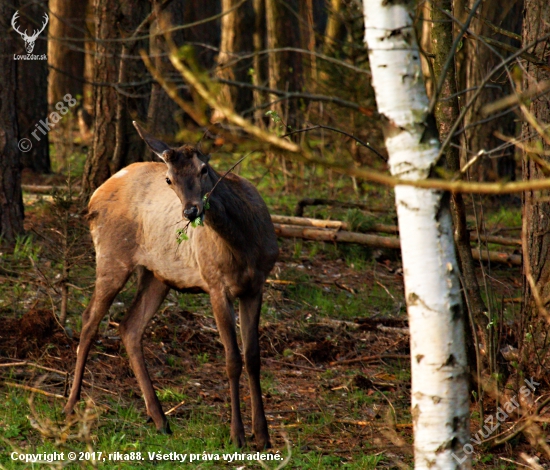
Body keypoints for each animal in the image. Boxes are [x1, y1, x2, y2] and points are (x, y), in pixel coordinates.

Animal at [64, 121, 280, 448]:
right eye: (169, 178)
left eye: (204, 169)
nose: (191, 211)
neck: (244, 245)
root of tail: (94, 196)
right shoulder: (215, 284)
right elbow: (232, 359)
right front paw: (237, 435)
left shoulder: (257, 284)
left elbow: (253, 357)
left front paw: (264, 436)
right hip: (112, 254)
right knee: (89, 320)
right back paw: (70, 405)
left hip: (158, 275)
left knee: (129, 327)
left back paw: (160, 419)